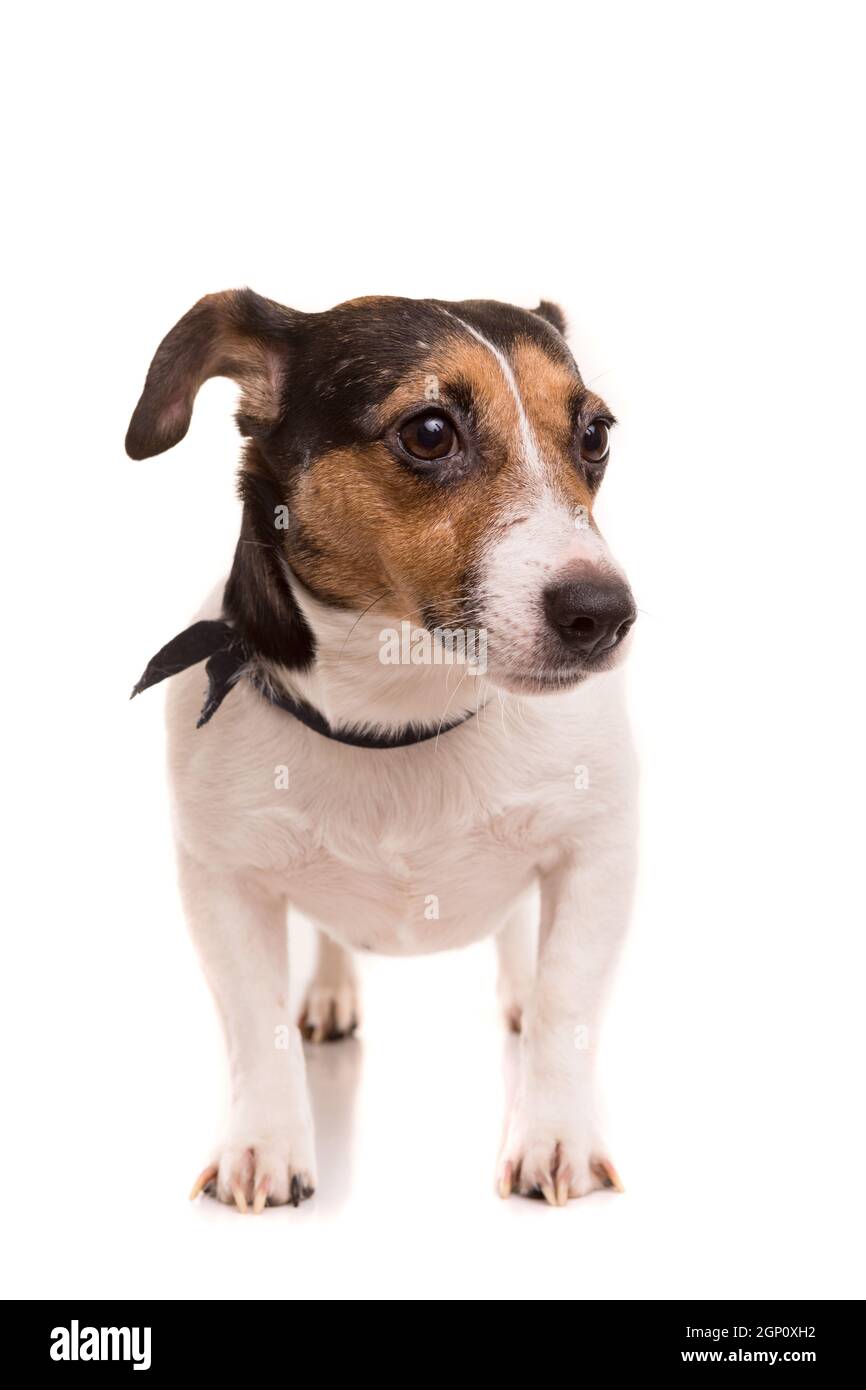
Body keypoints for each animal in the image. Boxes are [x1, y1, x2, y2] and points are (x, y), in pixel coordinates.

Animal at [130, 287, 644, 1212]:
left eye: (595, 435)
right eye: (430, 431)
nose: (605, 612)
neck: (402, 712)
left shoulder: (597, 853)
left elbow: (565, 1001)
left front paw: (555, 1139)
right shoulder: (221, 879)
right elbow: (253, 1023)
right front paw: (264, 1148)